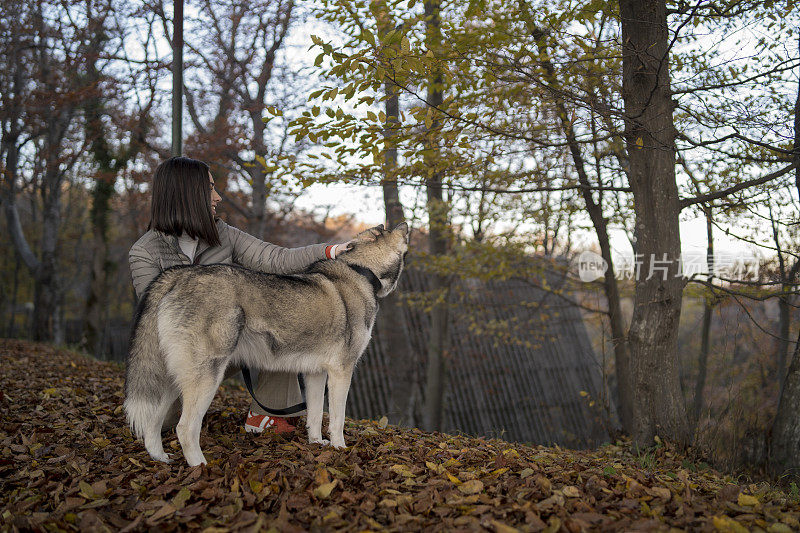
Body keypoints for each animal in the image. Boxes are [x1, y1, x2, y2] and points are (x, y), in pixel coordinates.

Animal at [125, 222, 412, 464]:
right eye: (387, 227)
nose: (405, 222)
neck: (362, 271)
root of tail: (178, 274)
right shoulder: (342, 371)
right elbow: (337, 420)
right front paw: (339, 449)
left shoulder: (316, 373)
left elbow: (315, 416)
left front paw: (316, 443)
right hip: (207, 377)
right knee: (185, 428)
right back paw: (201, 467)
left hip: (172, 379)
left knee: (152, 422)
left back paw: (160, 458)